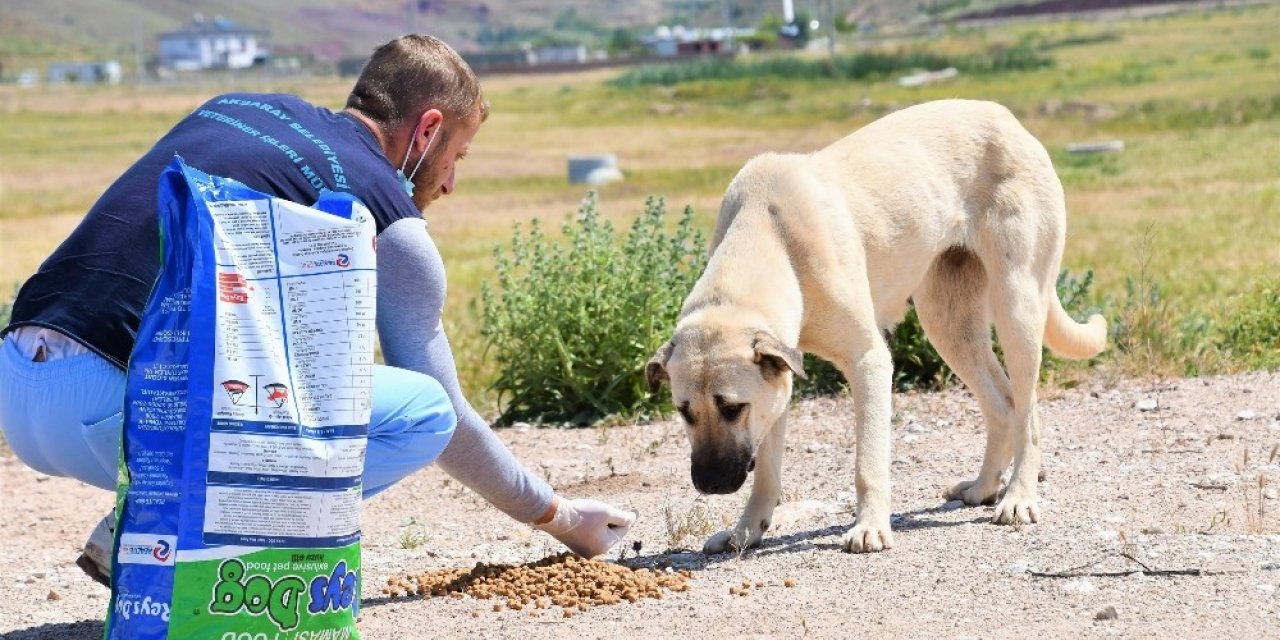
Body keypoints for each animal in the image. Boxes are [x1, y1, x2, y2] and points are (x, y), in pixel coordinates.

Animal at [645, 99, 1105, 555]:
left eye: (732, 408)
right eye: (684, 412)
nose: (709, 484)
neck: (770, 236)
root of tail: (1007, 118)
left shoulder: (867, 362)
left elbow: (866, 463)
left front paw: (869, 527)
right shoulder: (777, 384)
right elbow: (767, 475)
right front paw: (745, 533)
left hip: (1017, 306)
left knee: (1028, 414)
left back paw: (1019, 496)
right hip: (948, 325)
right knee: (1003, 404)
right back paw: (983, 487)